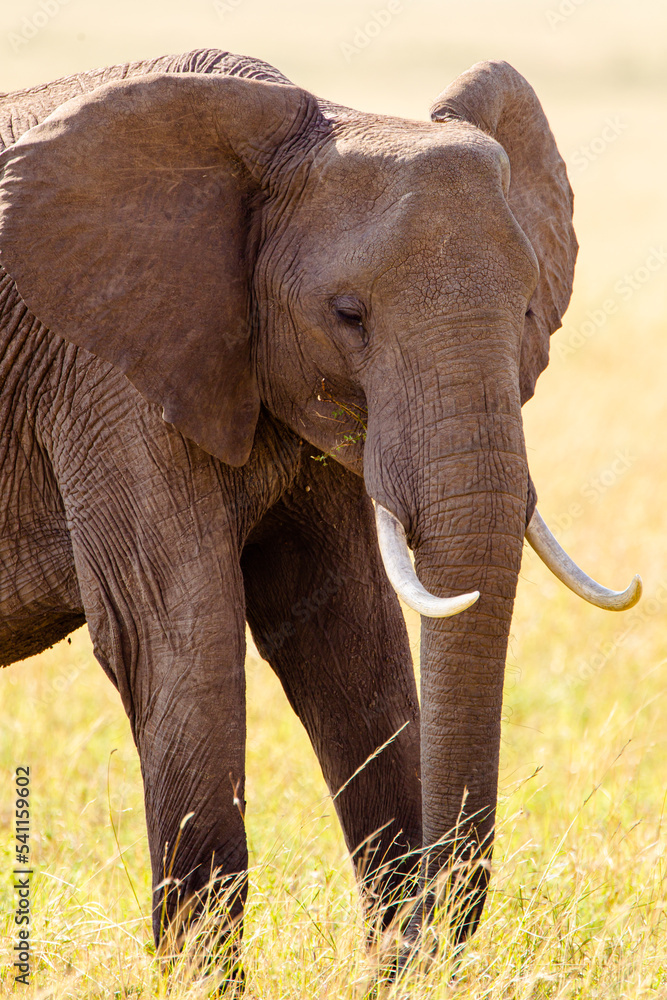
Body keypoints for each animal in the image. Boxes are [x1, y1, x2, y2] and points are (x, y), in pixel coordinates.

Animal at [0, 47, 641, 983]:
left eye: (528, 310)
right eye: (347, 315)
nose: (417, 952)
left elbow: (343, 635)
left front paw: (398, 967)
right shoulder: (104, 374)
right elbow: (171, 636)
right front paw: (204, 986)